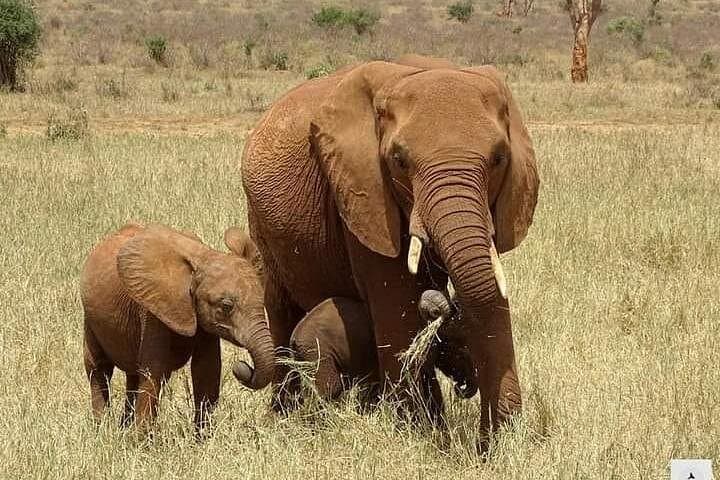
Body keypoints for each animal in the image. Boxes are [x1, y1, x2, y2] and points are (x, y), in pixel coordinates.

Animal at [79, 222, 273, 432]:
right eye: (226, 306)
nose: (242, 366)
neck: (203, 258)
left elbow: (207, 370)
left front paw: (202, 438)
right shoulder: (152, 309)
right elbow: (153, 372)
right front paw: (140, 440)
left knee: (132, 375)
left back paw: (123, 429)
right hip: (90, 319)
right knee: (98, 369)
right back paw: (101, 431)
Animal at [238, 54, 539, 437]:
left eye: (499, 158)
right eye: (399, 160)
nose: (485, 441)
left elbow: (489, 290)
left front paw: (506, 440)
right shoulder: (364, 194)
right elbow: (396, 302)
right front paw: (421, 433)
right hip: (262, 227)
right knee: (281, 310)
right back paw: (282, 419)